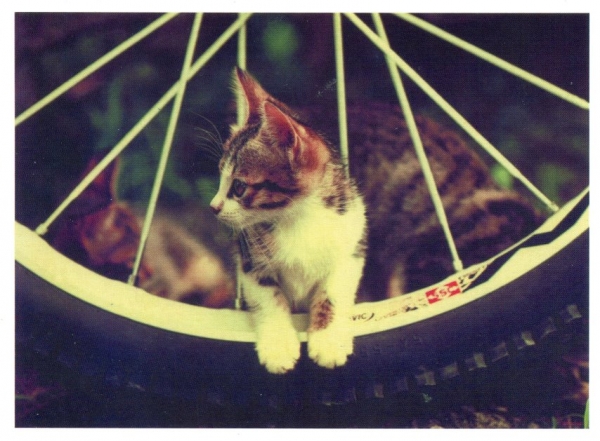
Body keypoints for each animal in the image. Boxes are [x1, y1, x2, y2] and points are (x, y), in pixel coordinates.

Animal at [210, 68, 541, 373]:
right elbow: (268, 297)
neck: (297, 218)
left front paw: (328, 340)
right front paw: (278, 346)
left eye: (238, 187)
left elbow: (333, 293)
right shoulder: (250, 258)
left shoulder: (352, 244)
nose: (214, 206)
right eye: (220, 177)